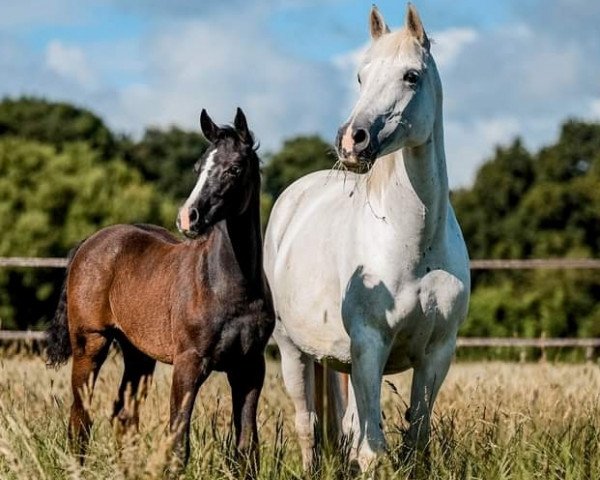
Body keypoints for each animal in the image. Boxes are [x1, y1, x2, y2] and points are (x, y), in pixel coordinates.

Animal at [45, 108, 276, 472]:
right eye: (198, 166)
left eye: (235, 168)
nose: (188, 218)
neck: (231, 287)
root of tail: (89, 243)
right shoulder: (188, 364)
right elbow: (179, 442)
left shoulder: (251, 367)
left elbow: (246, 446)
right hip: (91, 343)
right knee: (80, 415)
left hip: (137, 353)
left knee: (123, 414)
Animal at [266, 1, 468, 470]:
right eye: (361, 76)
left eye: (411, 75)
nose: (351, 141)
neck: (416, 246)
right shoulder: (371, 344)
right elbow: (373, 451)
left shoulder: (437, 353)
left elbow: (413, 441)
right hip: (292, 350)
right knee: (308, 425)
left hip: (343, 362)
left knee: (344, 427)